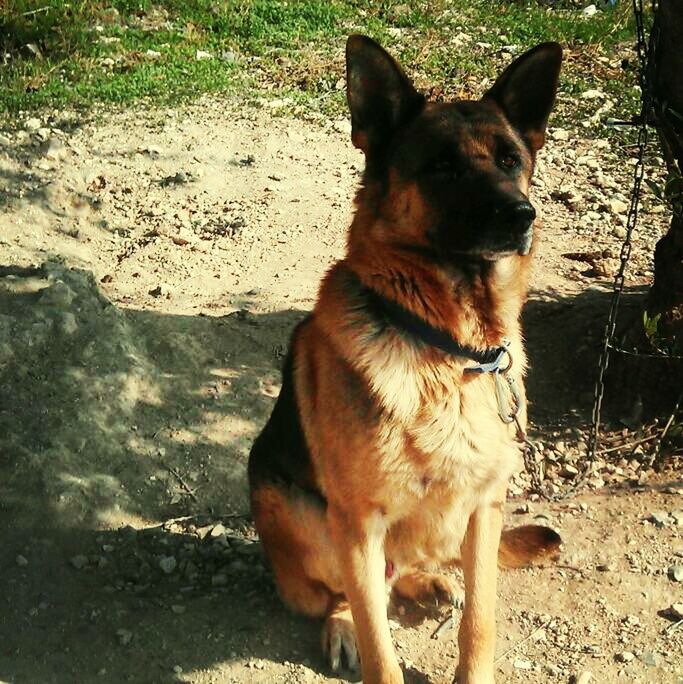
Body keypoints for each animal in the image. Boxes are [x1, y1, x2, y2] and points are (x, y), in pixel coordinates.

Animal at [248, 37, 564, 684]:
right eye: (442, 167)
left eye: (510, 160)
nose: (522, 214)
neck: (451, 350)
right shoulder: (357, 523)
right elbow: (379, 646)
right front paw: (362, 635)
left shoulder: (485, 509)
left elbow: (480, 622)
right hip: (301, 513)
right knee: (348, 593)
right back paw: (343, 621)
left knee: (407, 571)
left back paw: (427, 581)